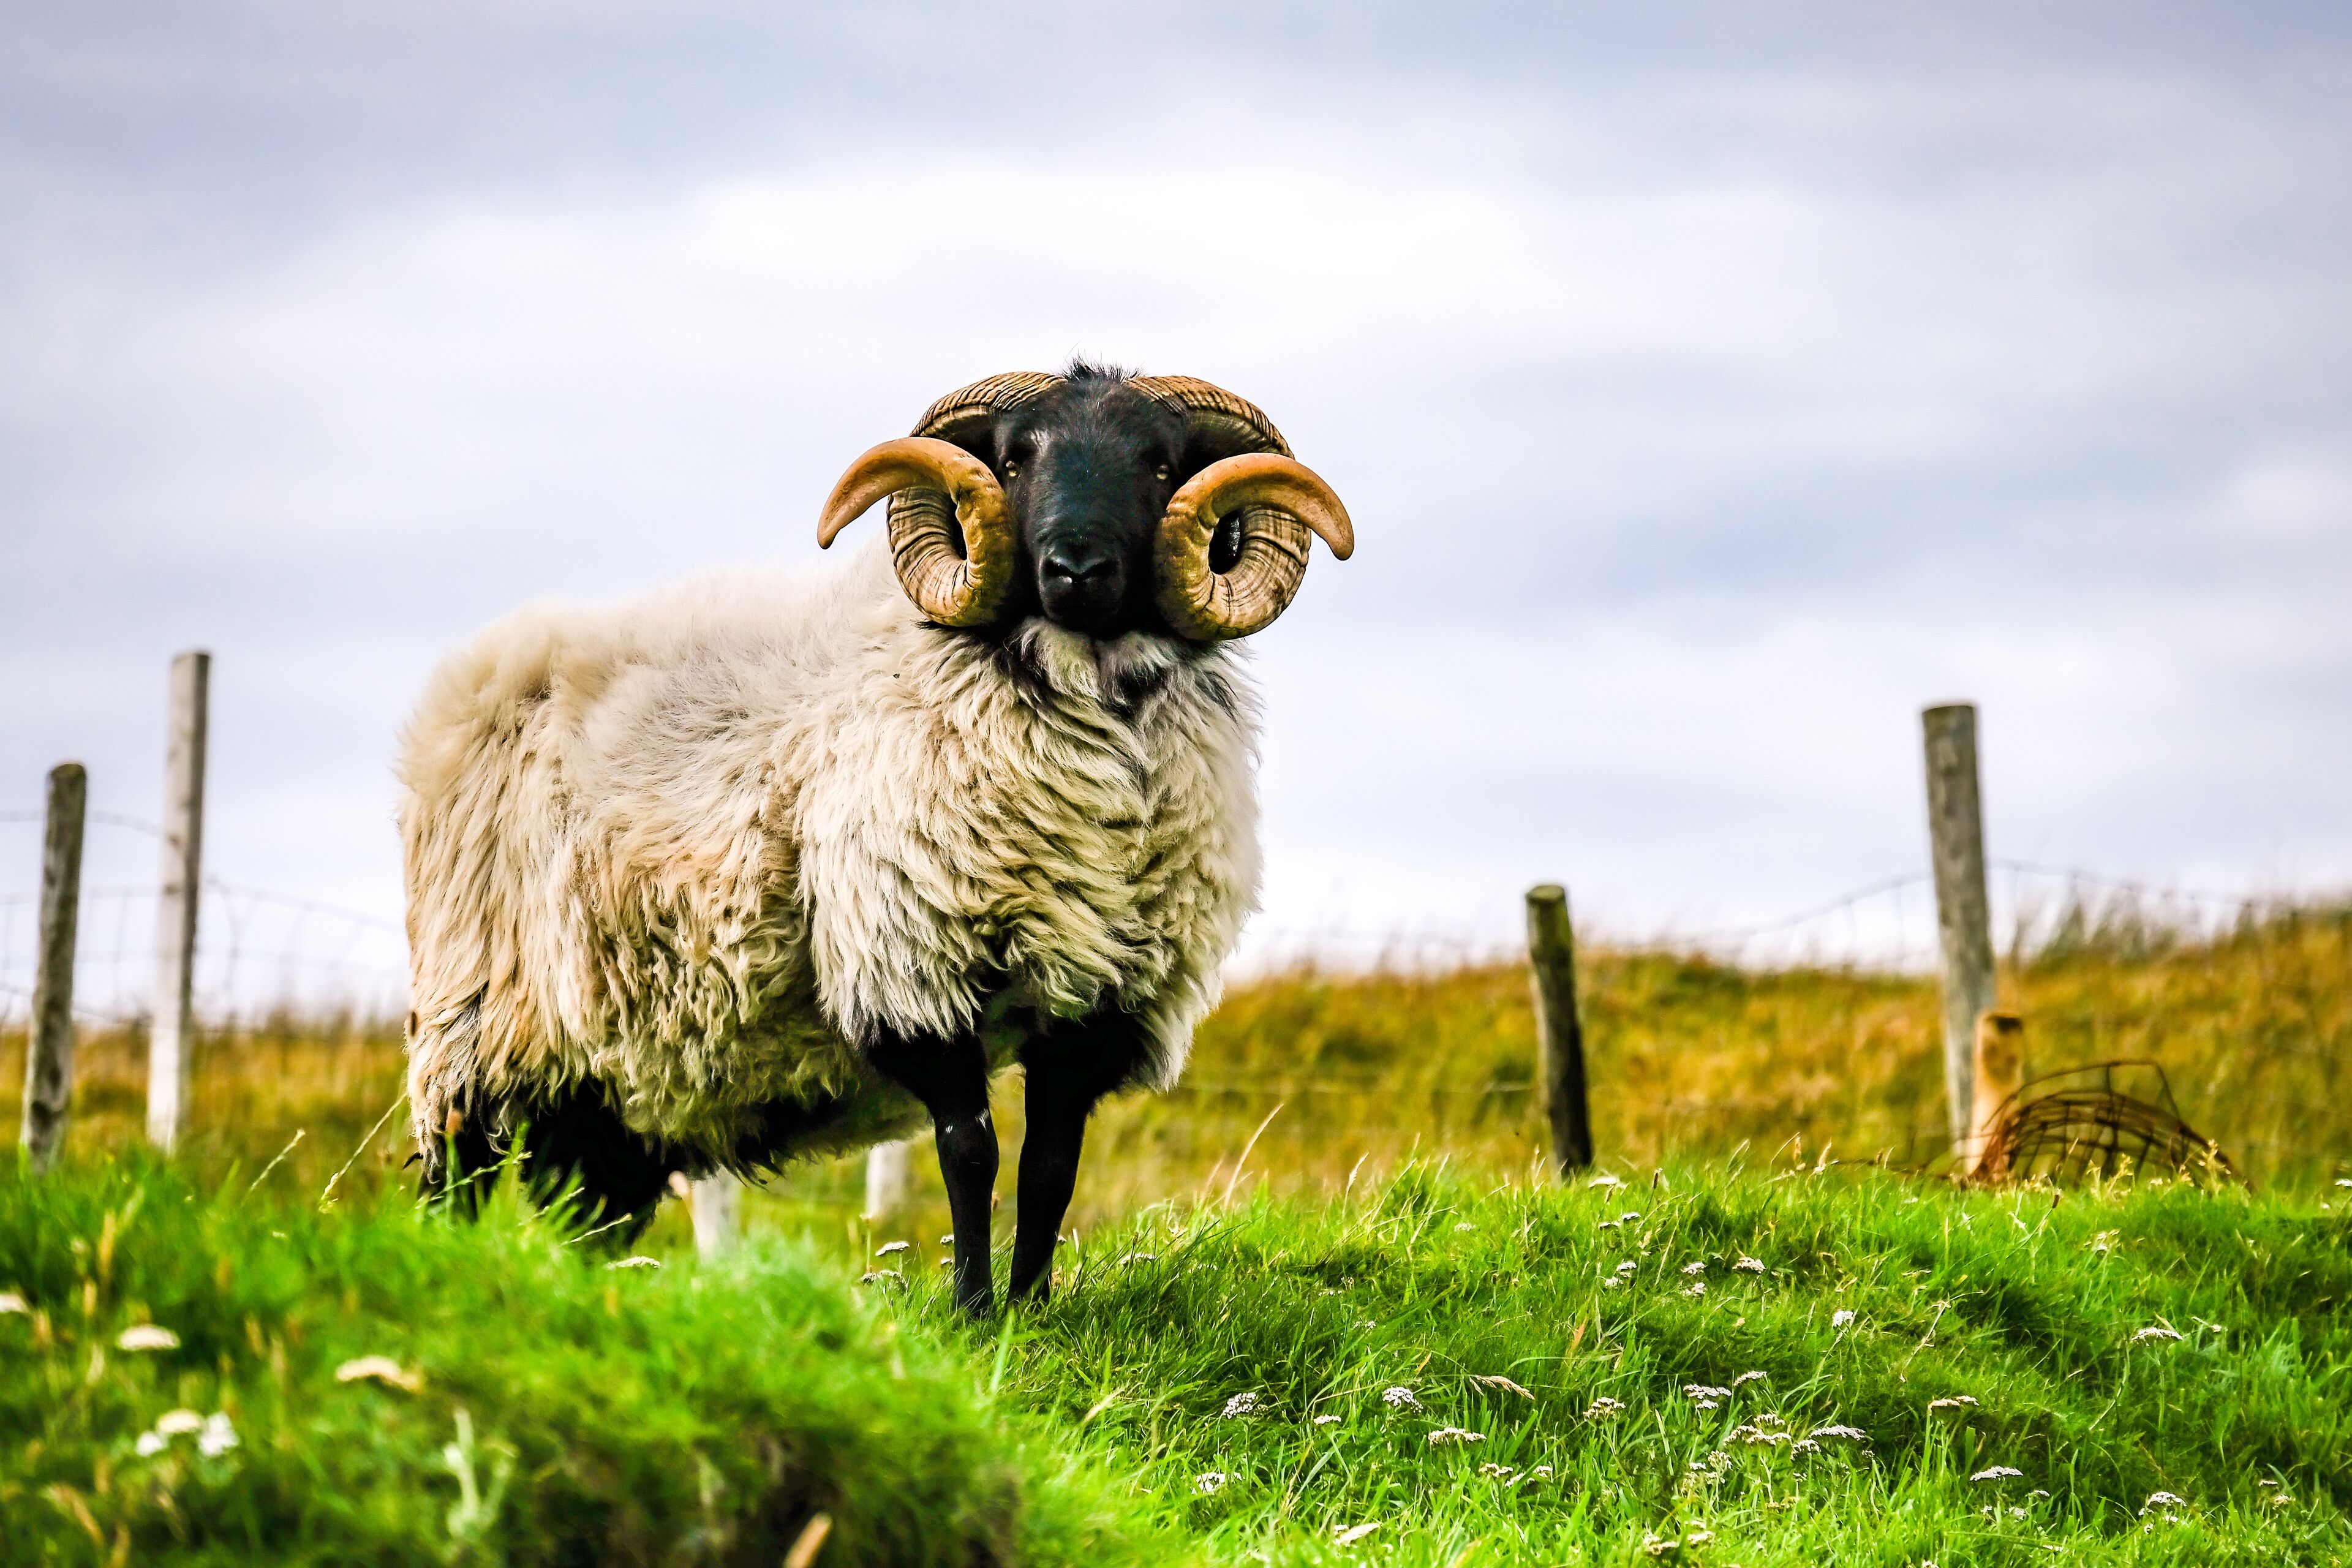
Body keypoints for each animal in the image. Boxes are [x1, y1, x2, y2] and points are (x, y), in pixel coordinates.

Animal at [399, 362, 1353, 1310]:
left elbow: (1050, 1168)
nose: (1074, 569)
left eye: (1160, 462)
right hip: (473, 1016)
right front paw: (974, 1316)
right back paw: (448, 1274)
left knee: (587, 1211)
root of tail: (467, 684)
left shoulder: (1100, 1000)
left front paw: (1032, 1309)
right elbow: (970, 1153)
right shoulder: (913, 961)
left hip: (614, 1078)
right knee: (455, 1176)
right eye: (1015, 459)